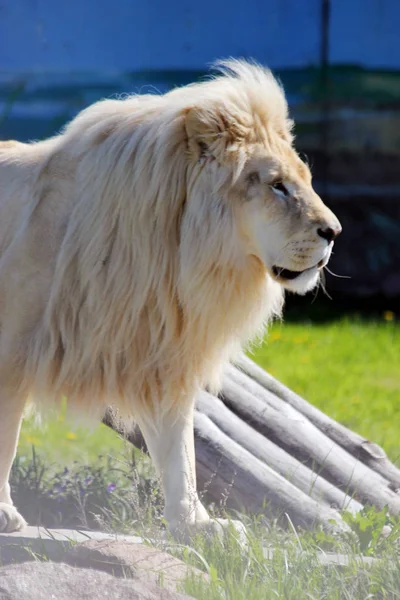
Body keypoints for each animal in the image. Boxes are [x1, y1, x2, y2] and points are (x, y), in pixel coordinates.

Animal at [0, 61, 340, 540]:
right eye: (278, 186)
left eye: (304, 182)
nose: (335, 232)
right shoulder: (11, 352)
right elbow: (6, 436)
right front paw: (3, 512)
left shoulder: (158, 353)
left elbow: (179, 449)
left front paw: (197, 524)